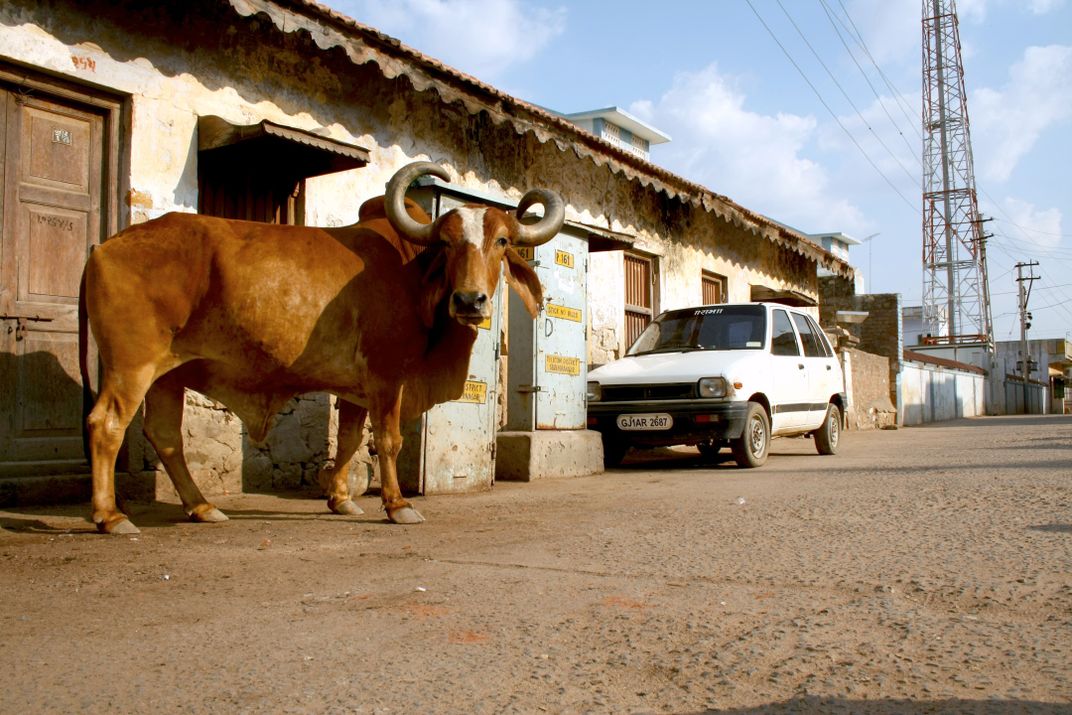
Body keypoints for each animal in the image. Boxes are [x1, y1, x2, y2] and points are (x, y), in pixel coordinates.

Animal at [78, 161, 564, 534]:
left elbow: (348, 439)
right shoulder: (386, 376)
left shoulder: (355, 389)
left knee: (165, 436)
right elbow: (387, 440)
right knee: (106, 425)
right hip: (132, 366)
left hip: (169, 375)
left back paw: (202, 507)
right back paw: (111, 516)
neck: (411, 269)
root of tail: (103, 246)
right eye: (445, 242)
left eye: (501, 241)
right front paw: (397, 505)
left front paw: (341, 499)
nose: (469, 301)